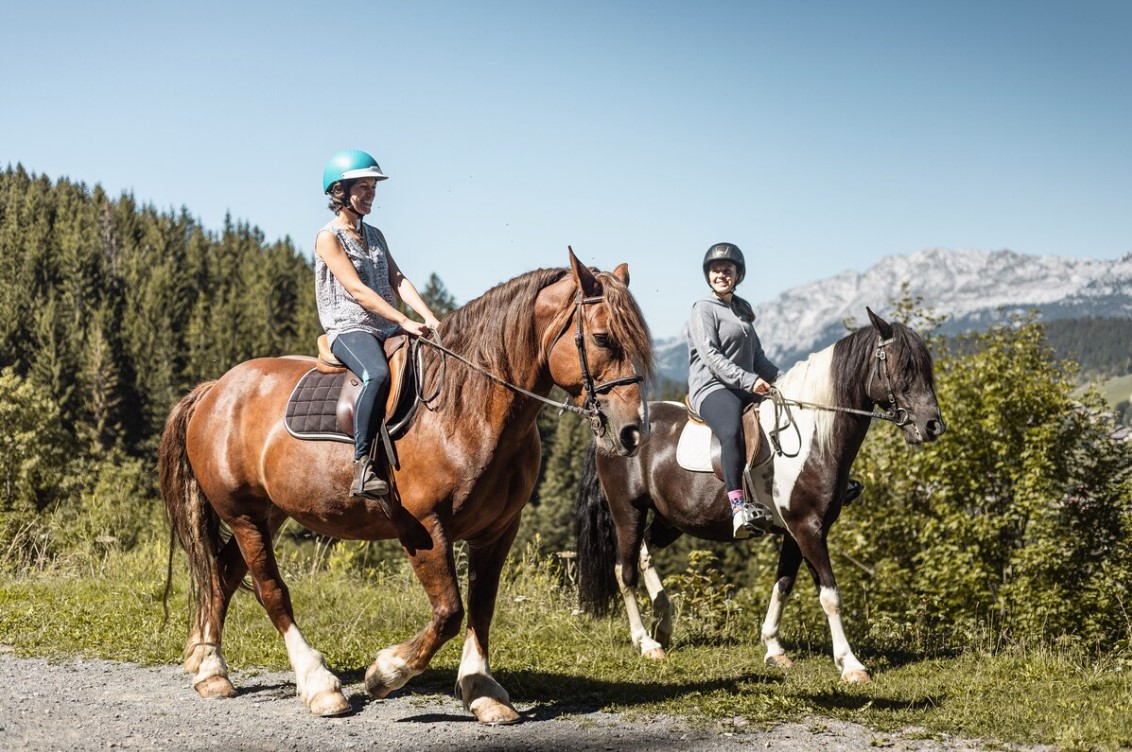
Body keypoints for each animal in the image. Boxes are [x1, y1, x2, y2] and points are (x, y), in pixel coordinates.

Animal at [160, 252, 656, 724]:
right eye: (603, 338)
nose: (633, 431)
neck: (467, 406)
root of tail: (215, 390)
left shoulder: (498, 530)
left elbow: (481, 606)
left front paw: (482, 691)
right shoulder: (424, 529)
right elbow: (450, 612)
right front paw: (386, 673)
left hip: (268, 513)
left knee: (222, 574)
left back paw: (210, 669)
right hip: (243, 514)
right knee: (270, 591)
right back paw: (319, 685)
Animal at [579, 308, 941, 684]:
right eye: (904, 368)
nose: (933, 425)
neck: (812, 437)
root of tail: (614, 429)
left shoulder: (797, 533)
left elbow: (783, 584)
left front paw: (774, 648)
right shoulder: (808, 529)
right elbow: (830, 595)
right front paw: (851, 664)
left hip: (670, 520)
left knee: (645, 553)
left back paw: (663, 623)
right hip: (628, 511)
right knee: (625, 570)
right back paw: (646, 643)